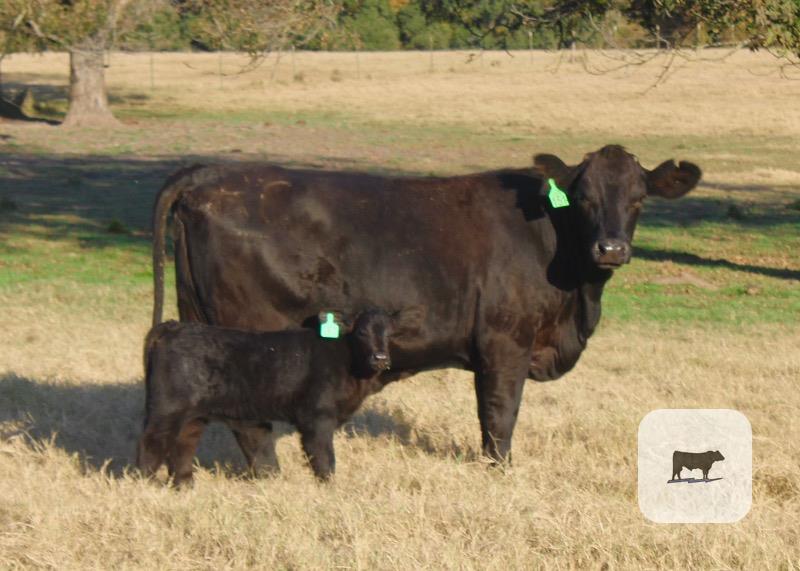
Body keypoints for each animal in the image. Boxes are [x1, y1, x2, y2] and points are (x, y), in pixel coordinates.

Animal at [137, 309, 407, 486]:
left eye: (390, 334)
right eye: (361, 332)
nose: (380, 358)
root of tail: (173, 326)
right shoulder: (316, 417)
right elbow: (323, 457)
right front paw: (329, 488)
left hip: (193, 414)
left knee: (184, 444)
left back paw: (185, 486)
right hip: (167, 409)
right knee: (150, 445)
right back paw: (147, 486)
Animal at [151, 145, 701, 470]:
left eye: (639, 198)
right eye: (584, 197)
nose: (611, 248)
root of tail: (209, 174)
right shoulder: (505, 342)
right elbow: (499, 416)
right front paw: (499, 472)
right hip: (250, 335)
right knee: (251, 425)